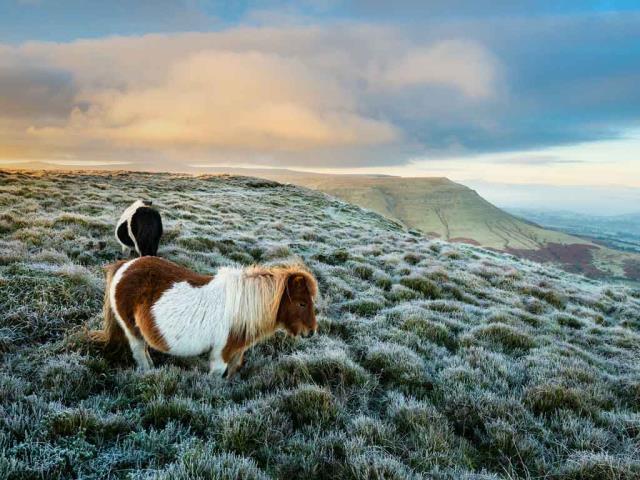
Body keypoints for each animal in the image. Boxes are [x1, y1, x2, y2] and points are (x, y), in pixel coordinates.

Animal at [90, 256, 318, 377]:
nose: (311, 332)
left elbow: (233, 371)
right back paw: (149, 372)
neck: (243, 308)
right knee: (139, 352)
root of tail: (124, 265)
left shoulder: (236, 351)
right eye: (302, 303)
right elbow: (215, 377)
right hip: (132, 330)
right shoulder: (221, 353)